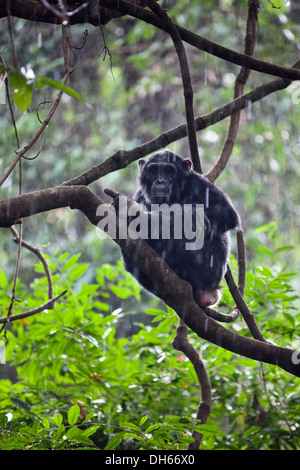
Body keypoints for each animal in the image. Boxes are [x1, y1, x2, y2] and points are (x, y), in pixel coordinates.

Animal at [113, 149, 240, 306]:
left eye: (168, 170)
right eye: (153, 170)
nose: (160, 181)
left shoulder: (200, 182)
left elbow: (225, 212)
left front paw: (188, 215)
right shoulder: (138, 195)